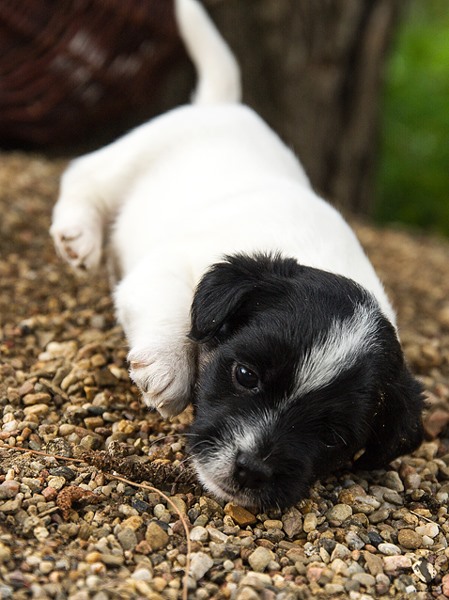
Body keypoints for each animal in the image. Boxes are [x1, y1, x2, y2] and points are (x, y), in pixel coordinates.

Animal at [51, 0, 424, 508]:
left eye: (332, 436)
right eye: (245, 374)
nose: (249, 469)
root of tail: (224, 103)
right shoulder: (169, 265)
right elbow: (177, 308)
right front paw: (168, 367)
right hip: (131, 158)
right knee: (84, 174)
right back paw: (78, 236)